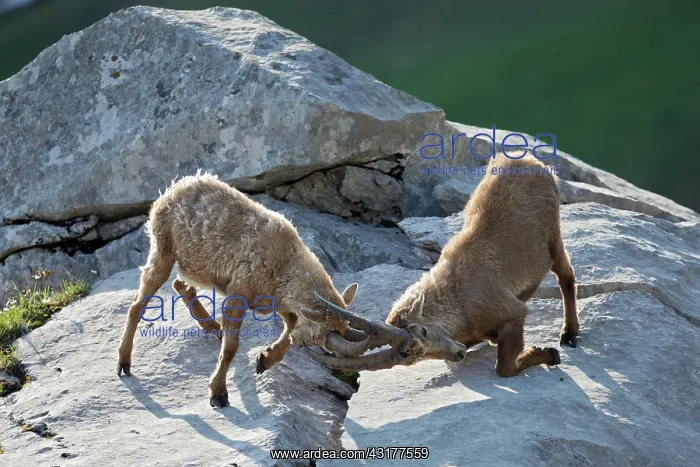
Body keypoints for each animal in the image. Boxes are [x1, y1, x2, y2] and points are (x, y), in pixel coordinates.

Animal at [116, 172, 373, 407]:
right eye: (316, 338)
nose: (329, 356)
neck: (285, 261)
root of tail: (173, 189)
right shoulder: (240, 294)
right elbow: (232, 348)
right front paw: (218, 394)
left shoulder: (276, 299)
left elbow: (290, 327)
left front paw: (265, 359)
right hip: (164, 247)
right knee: (138, 303)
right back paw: (124, 362)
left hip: (196, 265)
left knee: (180, 284)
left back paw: (213, 327)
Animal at [308, 154, 579, 376]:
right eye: (411, 358)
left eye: (424, 332)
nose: (458, 354)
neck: (457, 298)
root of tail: (528, 161)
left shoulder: (509, 313)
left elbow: (504, 368)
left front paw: (548, 354)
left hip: (553, 238)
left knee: (566, 275)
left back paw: (569, 334)